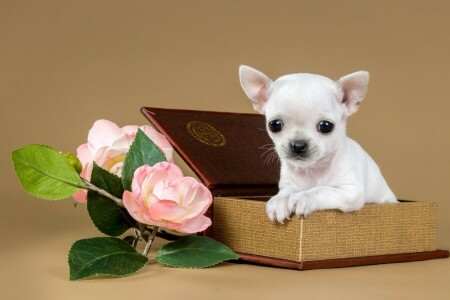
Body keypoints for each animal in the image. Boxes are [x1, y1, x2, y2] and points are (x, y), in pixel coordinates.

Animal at [239, 67, 398, 224]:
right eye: (274, 125)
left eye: (326, 126)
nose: (298, 145)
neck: (312, 170)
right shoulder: (289, 185)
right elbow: (286, 192)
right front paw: (279, 201)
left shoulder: (351, 191)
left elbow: (324, 189)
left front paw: (304, 197)